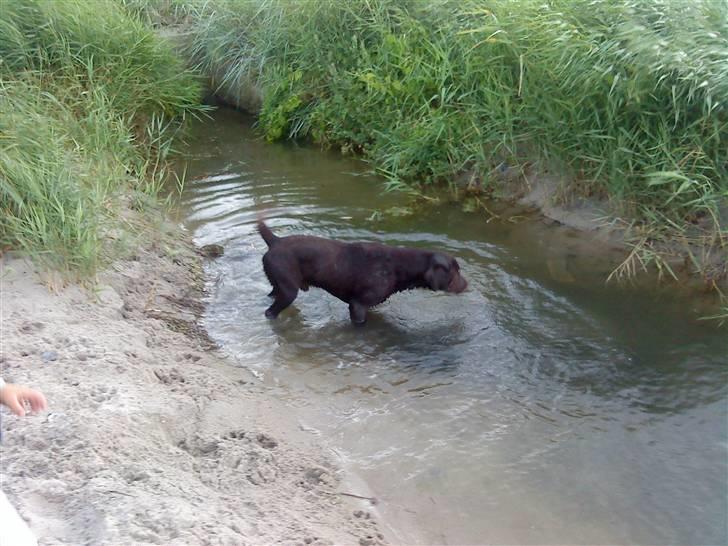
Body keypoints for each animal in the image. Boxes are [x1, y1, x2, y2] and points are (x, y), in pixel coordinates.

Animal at [258, 220, 470, 324]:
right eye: (455, 273)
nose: (467, 284)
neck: (400, 266)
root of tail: (275, 240)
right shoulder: (358, 306)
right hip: (288, 290)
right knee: (269, 312)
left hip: (278, 286)